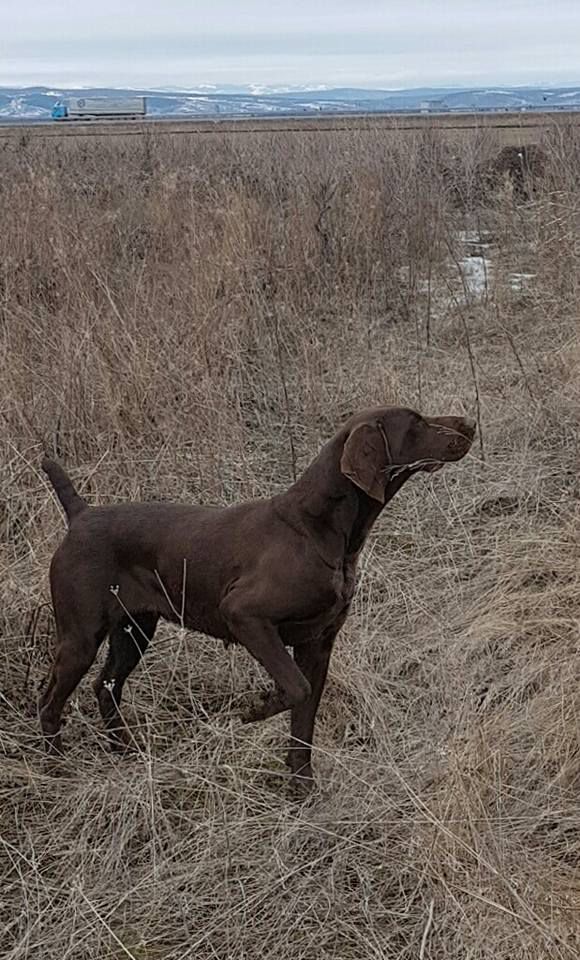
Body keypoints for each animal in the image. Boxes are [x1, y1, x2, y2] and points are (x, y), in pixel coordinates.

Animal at [39, 404, 476, 788]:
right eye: (416, 423)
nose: (470, 423)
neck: (317, 530)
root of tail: (81, 515)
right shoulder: (245, 615)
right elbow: (295, 688)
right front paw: (256, 708)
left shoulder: (318, 645)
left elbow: (303, 725)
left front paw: (302, 791)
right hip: (80, 638)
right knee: (50, 701)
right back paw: (54, 768)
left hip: (134, 630)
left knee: (106, 687)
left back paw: (126, 752)